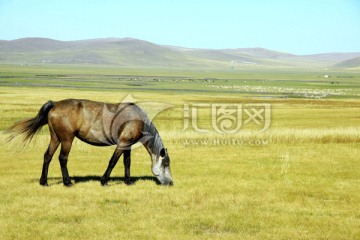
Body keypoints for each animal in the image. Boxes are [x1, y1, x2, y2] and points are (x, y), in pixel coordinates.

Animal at [6, 98, 173, 187]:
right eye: (166, 164)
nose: (170, 183)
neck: (137, 119)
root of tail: (55, 104)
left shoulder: (128, 145)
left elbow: (127, 162)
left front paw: (128, 181)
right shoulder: (122, 143)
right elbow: (113, 161)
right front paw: (104, 181)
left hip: (55, 138)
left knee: (47, 156)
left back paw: (44, 182)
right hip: (67, 139)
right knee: (62, 158)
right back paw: (67, 182)